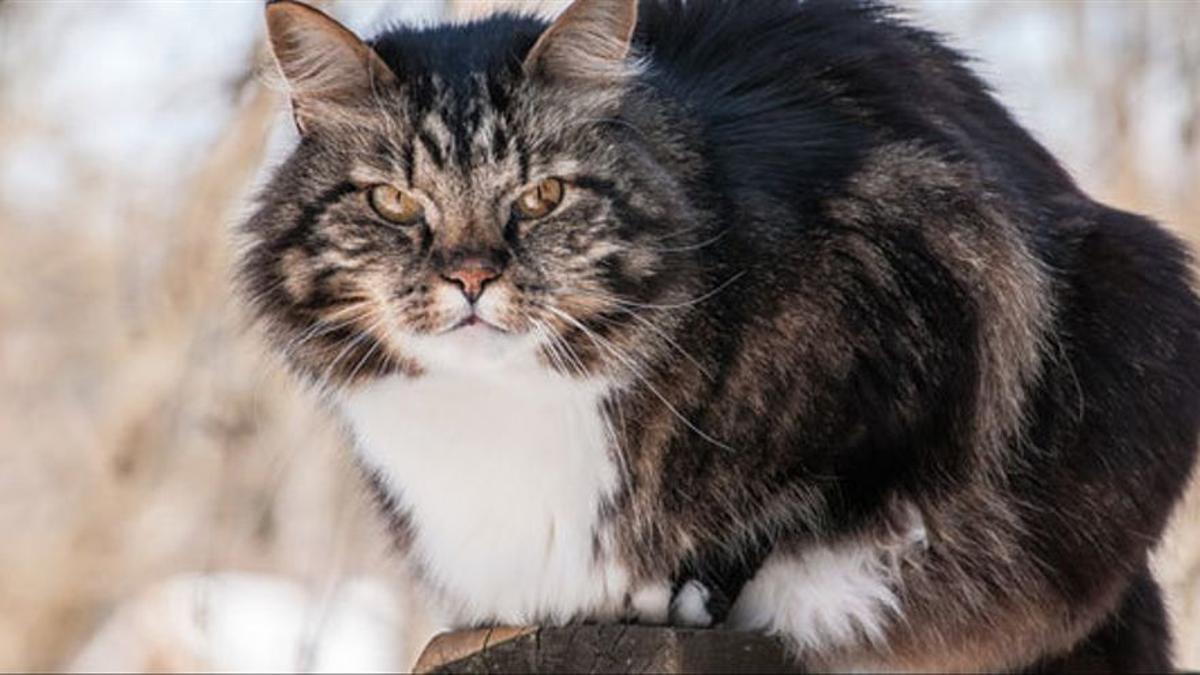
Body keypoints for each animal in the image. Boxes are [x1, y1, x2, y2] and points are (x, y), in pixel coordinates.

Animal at [238, 0, 1200, 667]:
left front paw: (690, 591)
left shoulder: (932, 288)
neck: (501, 407)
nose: (471, 276)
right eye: (395, 202)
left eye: (543, 196)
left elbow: (812, 502)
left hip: (1134, 297)